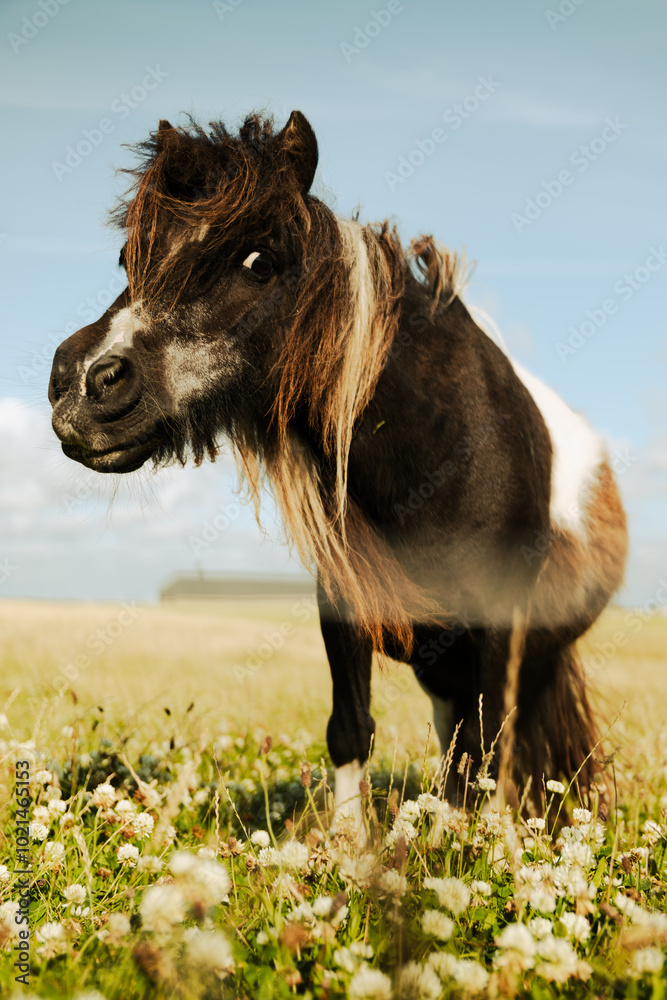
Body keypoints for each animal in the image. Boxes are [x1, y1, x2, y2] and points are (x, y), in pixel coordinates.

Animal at [49, 110, 628, 830]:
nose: (80, 385)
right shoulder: (348, 606)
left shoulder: (499, 626)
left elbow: (490, 749)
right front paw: (351, 847)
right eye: (130, 258)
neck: (441, 453)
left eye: (259, 261)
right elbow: (352, 728)